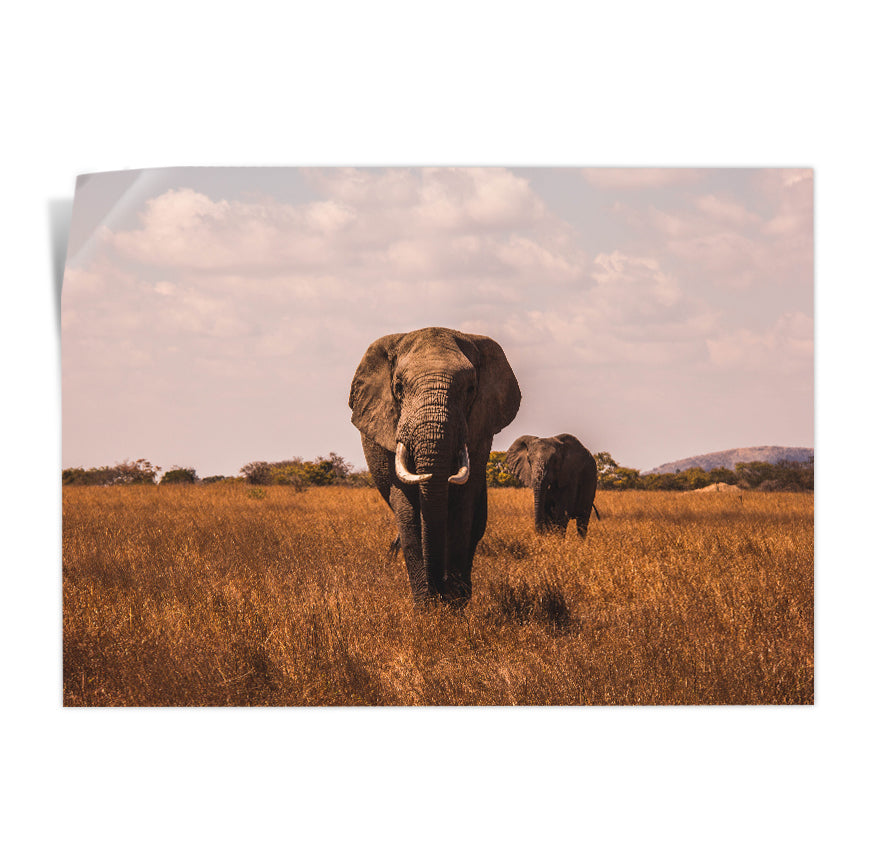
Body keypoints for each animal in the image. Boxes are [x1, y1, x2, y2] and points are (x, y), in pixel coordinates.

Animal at [349, 327, 521, 606]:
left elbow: (463, 508)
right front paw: (427, 606)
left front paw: (454, 604)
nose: (439, 589)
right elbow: (408, 511)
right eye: (398, 387)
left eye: (471, 388)